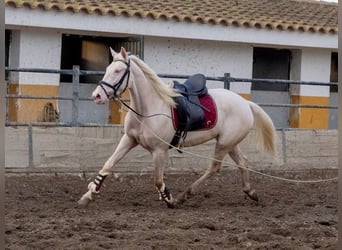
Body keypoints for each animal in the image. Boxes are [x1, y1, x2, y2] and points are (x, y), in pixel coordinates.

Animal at [77, 47, 276, 208]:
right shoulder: (129, 139)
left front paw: (169, 199)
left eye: (118, 71)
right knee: (243, 162)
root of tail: (245, 103)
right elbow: (108, 164)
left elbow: (158, 180)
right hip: (230, 143)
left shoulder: (159, 150)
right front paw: (88, 195)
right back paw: (250, 192)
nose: (97, 95)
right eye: (107, 70)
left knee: (214, 168)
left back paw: (184, 196)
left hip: (224, 144)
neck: (148, 108)